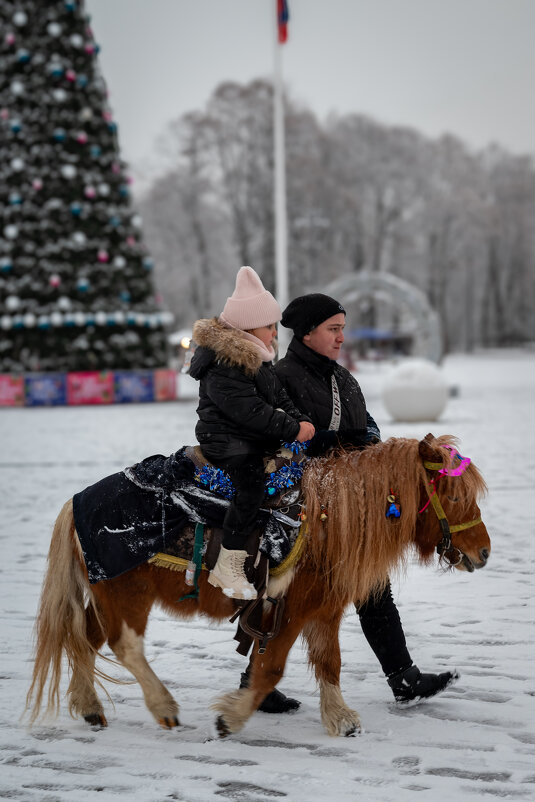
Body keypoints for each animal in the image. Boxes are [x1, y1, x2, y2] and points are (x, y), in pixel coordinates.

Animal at [27, 434, 492, 736]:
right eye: (453, 497)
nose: (484, 551)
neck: (325, 521)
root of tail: (75, 502)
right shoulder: (288, 611)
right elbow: (270, 669)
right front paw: (230, 718)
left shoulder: (323, 608)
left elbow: (330, 662)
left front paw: (339, 717)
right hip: (127, 595)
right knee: (124, 645)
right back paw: (163, 707)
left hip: (106, 596)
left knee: (83, 638)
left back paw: (89, 707)